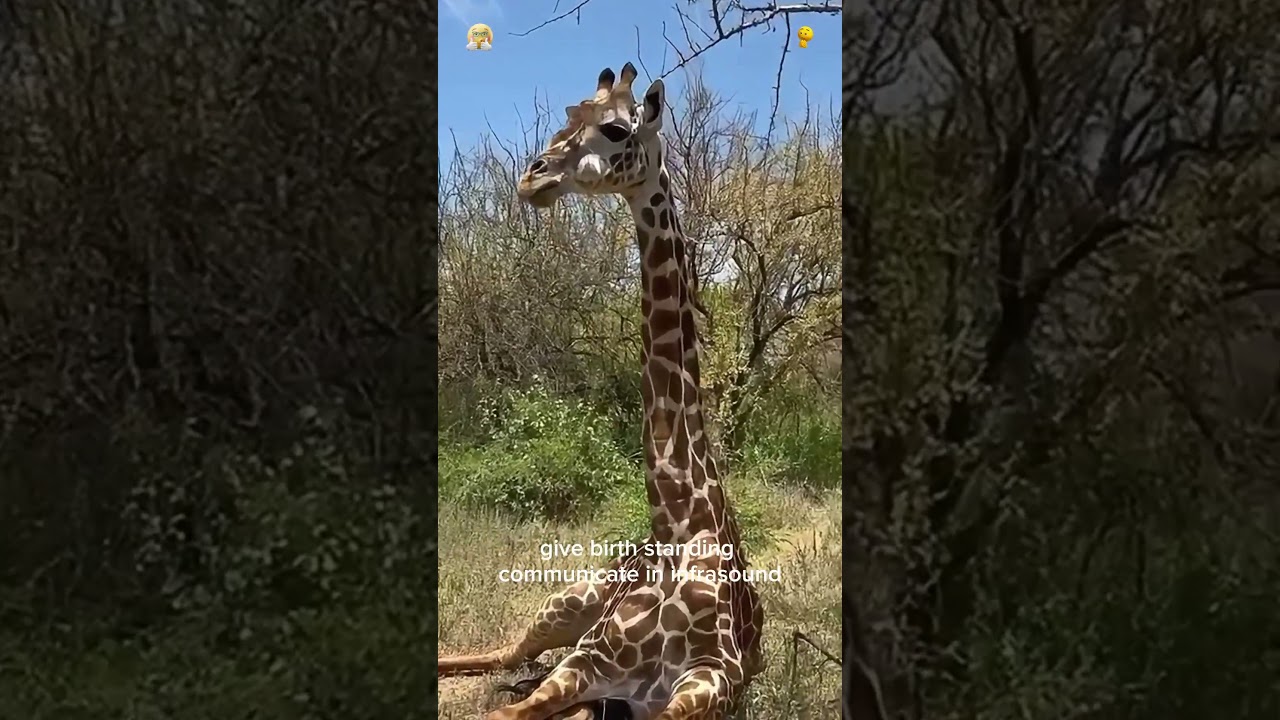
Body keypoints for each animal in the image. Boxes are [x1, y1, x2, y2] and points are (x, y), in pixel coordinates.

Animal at [437, 62, 765, 720]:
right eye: (566, 121)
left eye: (615, 129)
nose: (532, 177)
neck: (675, 529)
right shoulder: (587, 660)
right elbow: (509, 709)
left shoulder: (709, 683)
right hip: (565, 603)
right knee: (503, 654)